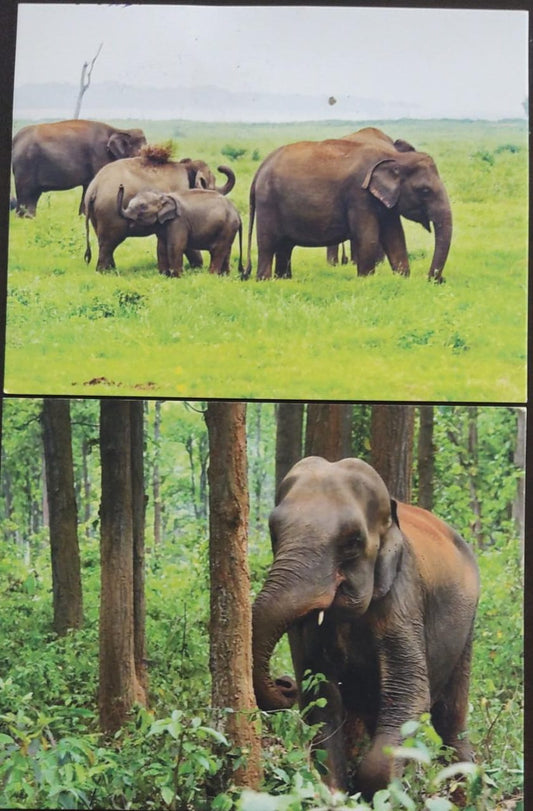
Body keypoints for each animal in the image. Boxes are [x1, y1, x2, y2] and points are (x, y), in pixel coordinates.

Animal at [11, 119, 147, 217]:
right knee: (26, 194)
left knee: (33, 195)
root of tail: (15, 139)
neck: (119, 130)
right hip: (25, 165)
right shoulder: (99, 155)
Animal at [84, 151, 236, 271]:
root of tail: (94, 188)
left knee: (104, 241)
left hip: (97, 215)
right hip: (110, 213)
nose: (220, 167)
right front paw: (197, 267)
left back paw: (112, 270)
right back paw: (105, 272)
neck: (186, 167)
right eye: (212, 183)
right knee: (109, 243)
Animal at [244, 130, 452, 283]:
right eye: (424, 190)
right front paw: (366, 281)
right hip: (268, 203)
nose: (435, 279)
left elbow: (395, 236)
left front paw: (402, 279)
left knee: (285, 246)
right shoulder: (359, 195)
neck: (395, 157)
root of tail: (259, 169)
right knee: (267, 244)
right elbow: (368, 236)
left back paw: (284, 280)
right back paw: (265, 281)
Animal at [252, 456, 479, 798]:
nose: (284, 683)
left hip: (467, 629)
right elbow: (321, 696)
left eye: (352, 542)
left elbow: (410, 694)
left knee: (450, 723)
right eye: (273, 532)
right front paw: (337, 794)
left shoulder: (403, 595)